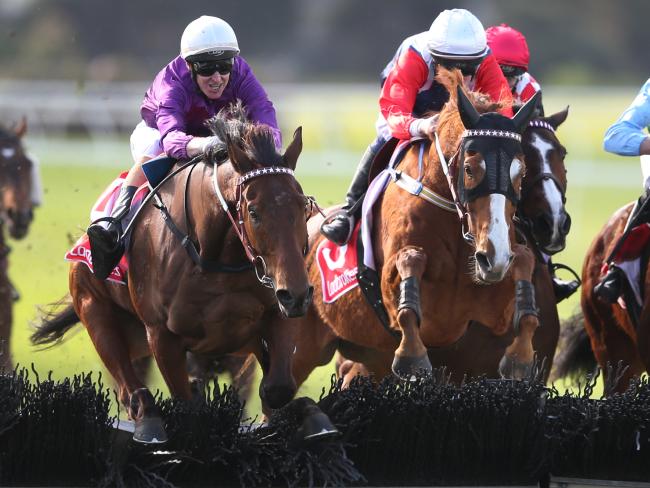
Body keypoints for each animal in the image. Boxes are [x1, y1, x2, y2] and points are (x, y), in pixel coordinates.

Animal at [33, 107, 316, 442]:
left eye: (304, 206)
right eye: (254, 211)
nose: (297, 295)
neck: (215, 258)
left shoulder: (273, 312)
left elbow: (278, 387)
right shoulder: (162, 335)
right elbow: (188, 405)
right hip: (95, 309)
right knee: (132, 391)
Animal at [286, 68, 540, 388]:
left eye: (521, 172)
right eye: (470, 169)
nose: (493, 256)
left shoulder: (491, 305)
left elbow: (524, 266)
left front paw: (521, 358)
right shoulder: (388, 287)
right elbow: (410, 266)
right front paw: (412, 356)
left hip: (369, 358)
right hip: (300, 349)